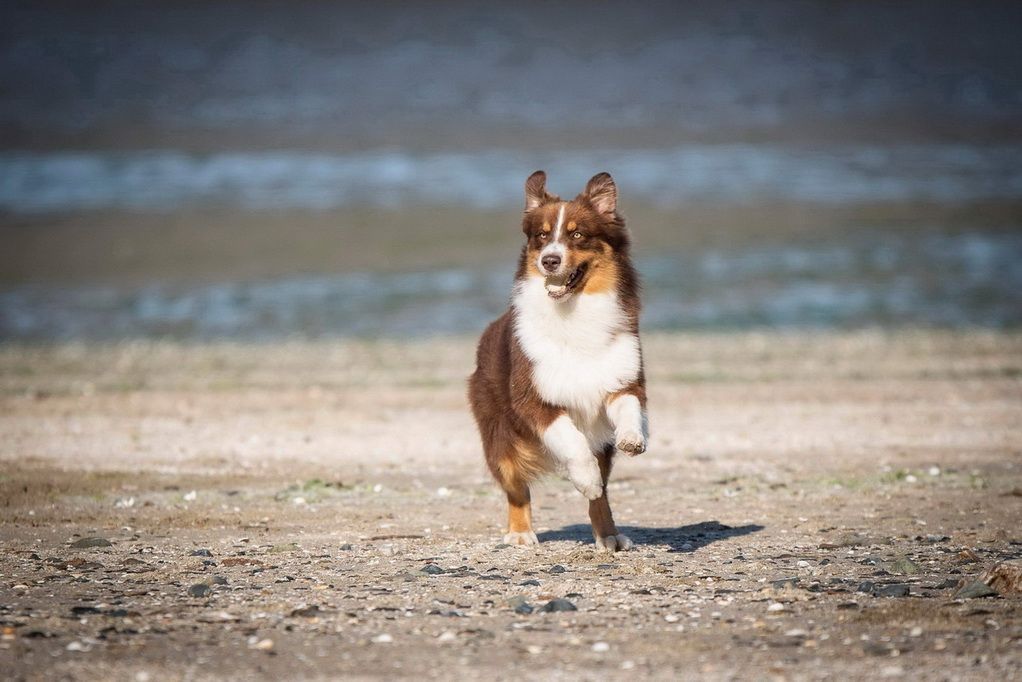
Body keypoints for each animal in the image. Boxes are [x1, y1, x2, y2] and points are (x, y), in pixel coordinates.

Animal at [466, 171, 641, 556]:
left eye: (577, 235)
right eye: (542, 236)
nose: (549, 260)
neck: (573, 315)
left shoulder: (623, 382)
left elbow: (630, 410)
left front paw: (633, 438)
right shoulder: (535, 399)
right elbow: (573, 443)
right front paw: (586, 478)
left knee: (602, 497)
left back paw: (608, 535)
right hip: (499, 436)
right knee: (516, 487)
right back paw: (520, 533)